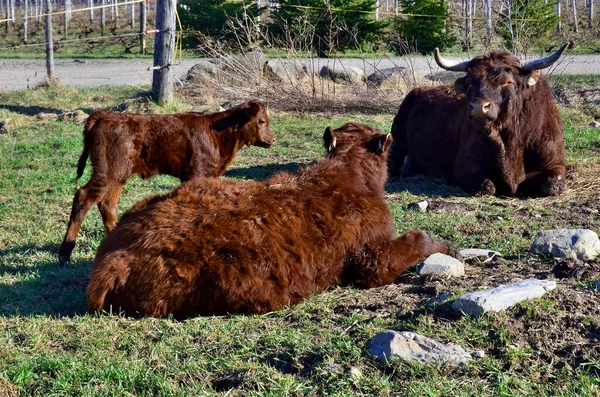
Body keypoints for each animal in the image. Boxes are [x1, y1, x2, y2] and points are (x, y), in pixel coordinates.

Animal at [58, 100, 274, 264]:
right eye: (262, 121)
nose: (272, 139)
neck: (218, 135)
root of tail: (104, 115)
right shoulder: (198, 173)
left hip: (118, 174)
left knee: (107, 203)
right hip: (108, 171)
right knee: (84, 197)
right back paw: (64, 253)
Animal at [390, 44, 568, 196]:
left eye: (508, 81)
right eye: (470, 82)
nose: (478, 107)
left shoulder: (556, 162)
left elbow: (553, 186)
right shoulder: (465, 163)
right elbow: (487, 186)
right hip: (396, 139)